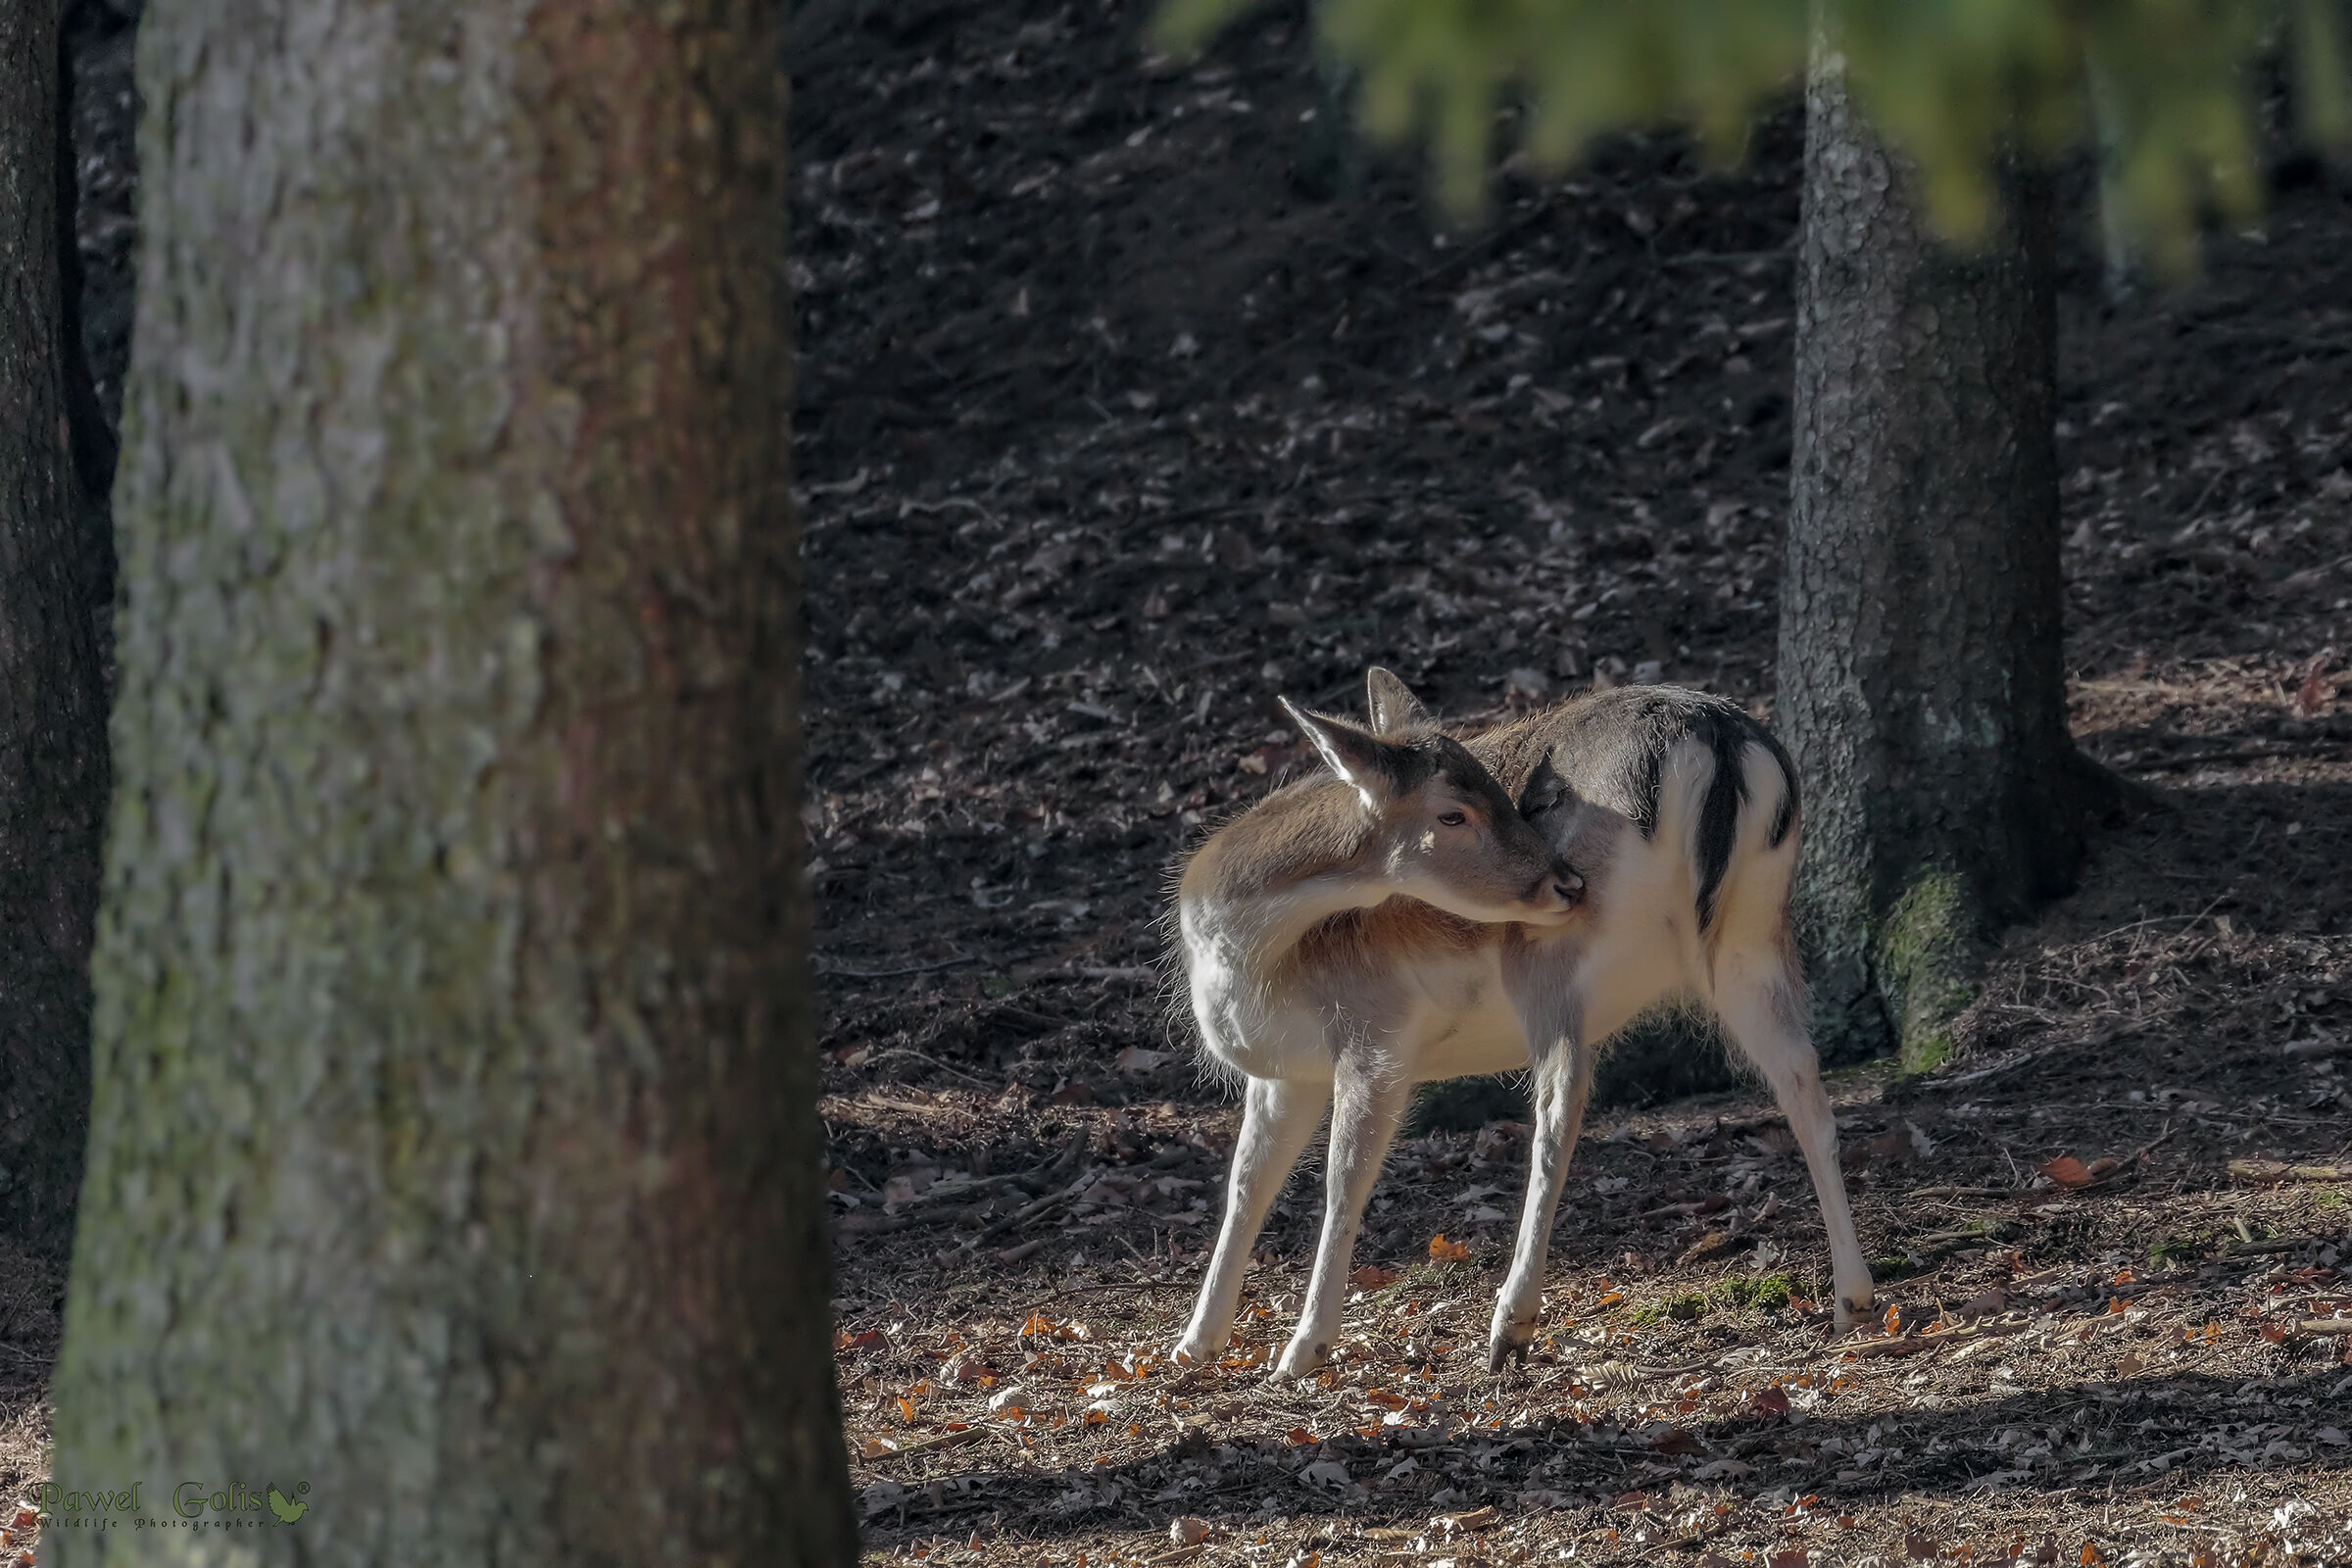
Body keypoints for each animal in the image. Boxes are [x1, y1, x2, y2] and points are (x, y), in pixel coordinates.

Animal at [1169, 668, 1871, 1378]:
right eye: (1455, 809)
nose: (1564, 882)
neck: (1248, 955)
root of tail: (1720, 738)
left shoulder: (1377, 1033)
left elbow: (1344, 1181)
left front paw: (1302, 1349)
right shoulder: (1286, 1072)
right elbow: (1245, 1185)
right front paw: (1195, 1342)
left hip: (1550, 962)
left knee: (1562, 1102)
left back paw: (1510, 1325)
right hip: (1755, 936)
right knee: (1805, 1084)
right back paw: (1855, 1299)